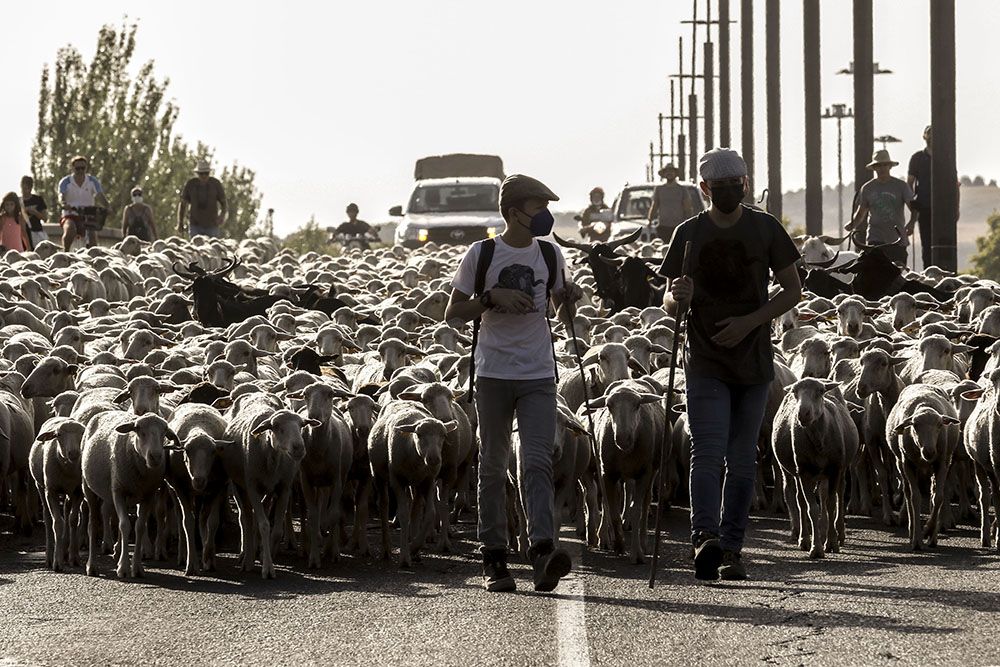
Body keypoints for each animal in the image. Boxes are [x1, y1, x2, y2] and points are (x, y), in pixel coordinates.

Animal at [28, 418, 86, 568]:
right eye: (58, 435)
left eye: (83, 434)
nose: (74, 453)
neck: (69, 468)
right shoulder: (51, 491)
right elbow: (57, 523)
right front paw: (57, 562)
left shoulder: (78, 491)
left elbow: (73, 520)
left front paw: (74, 557)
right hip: (40, 486)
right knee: (48, 518)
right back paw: (49, 557)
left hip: (68, 491)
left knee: (66, 510)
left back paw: (65, 550)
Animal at [81, 412, 181, 580]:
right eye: (139, 430)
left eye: (164, 432)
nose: (156, 456)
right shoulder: (118, 491)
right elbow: (124, 525)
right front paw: (123, 568)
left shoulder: (148, 495)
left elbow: (139, 526)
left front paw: (137, 567)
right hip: (88, 488)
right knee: (92, 525)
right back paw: (92, 566)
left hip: (113, 494)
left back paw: (116, 551)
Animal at [772, 380, 860, 560]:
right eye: (795, 392)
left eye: (820, 391)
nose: (803, 413)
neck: (819, 440)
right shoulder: (804, 473)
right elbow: (812, 508)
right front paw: (816, 548)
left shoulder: (835, 470)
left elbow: (831, 505)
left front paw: (831, 543)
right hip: (791, 471)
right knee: (797, 498)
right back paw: (803, 537)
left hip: (835, 472)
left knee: (837, 496)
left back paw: (836, 533)